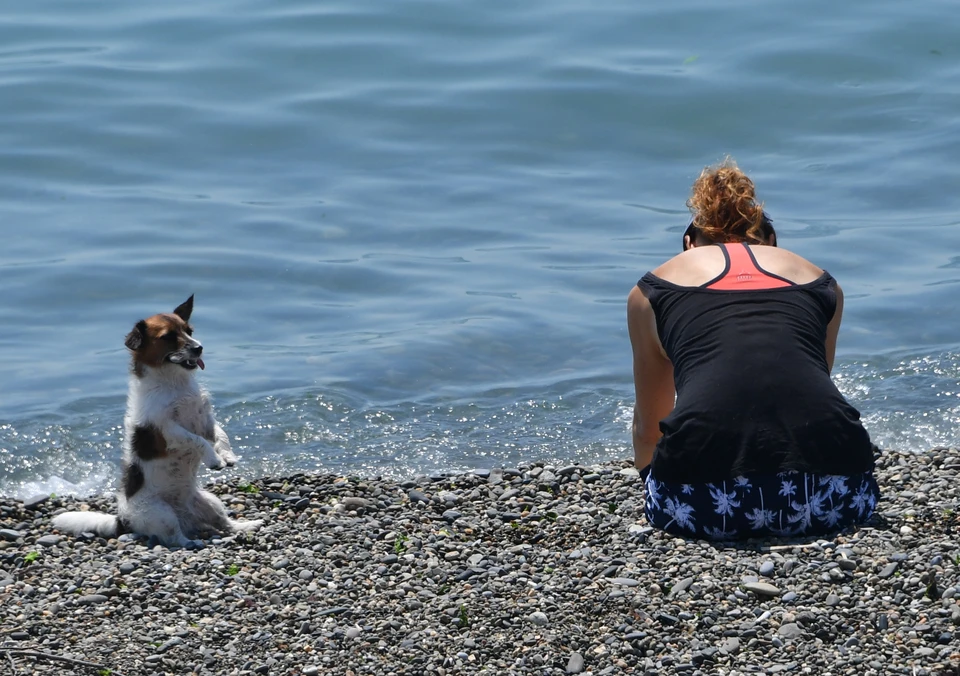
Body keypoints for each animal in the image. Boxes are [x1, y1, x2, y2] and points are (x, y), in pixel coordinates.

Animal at [51, 298, 262, 548]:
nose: (199, 347)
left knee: (223, 522)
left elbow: (220, 435)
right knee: (175, 537)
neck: (174, 382)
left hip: (211, 501)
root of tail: (122, 520)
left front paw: (228, 455)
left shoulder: (204, 419)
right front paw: (213, 459)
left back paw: (247, 525)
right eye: (168, 337)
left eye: (189, 331)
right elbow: (197, 441)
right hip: (162, 515)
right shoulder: (167, 431)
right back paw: (193, 543)